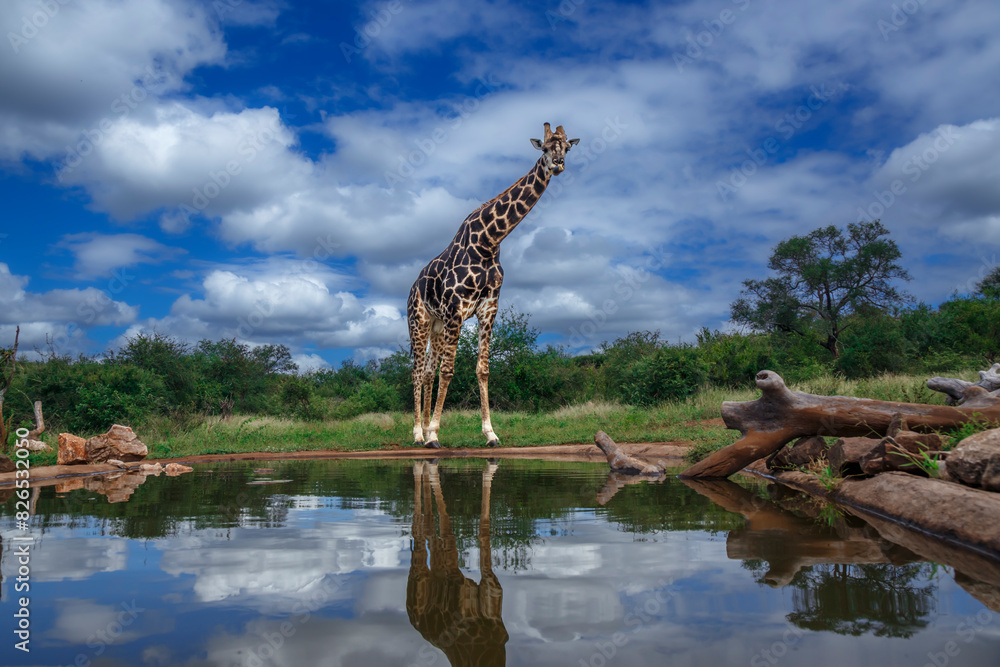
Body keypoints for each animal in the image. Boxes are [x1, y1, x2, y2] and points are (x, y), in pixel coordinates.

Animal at [407, 122, 579, 448]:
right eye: (545, 147)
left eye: (566, 147)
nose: (558, 164)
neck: (489, 242)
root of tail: (412, 288)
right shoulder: (456, 310)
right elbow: (449, 371)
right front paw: (435, 433)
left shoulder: (488, 309)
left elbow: (482, 370)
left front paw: (490, 433)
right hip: (419, 322)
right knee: (416, 371)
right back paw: (418, 433)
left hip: (437, 326)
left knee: (427, 372)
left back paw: (423, 432)